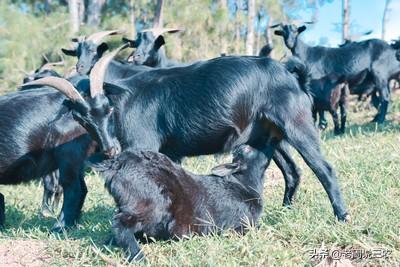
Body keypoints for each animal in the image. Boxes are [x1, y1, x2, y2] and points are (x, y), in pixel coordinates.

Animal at [0, 48, 122, 232]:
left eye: (110, 110)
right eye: (84, 121)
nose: (111, 149)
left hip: (68, 156)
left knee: (74, 189)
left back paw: (59, 227)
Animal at [101, 55, 348, 222]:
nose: (107, 149)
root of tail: (293, 77)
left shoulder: (141, 143)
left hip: (297, 126)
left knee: (324, 170)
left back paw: (341, 215)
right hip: (269, 136)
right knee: (292, 171)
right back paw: (287, 209)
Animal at [272, 23, 400, 123]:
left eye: (296, 31)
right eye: (283, 33)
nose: (289, 43)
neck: (307, 54)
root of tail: (392, 49)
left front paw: (322, 124)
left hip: (380, 75)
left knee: (385, 98)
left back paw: (380, 120)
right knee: (378, 100)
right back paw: (376, 119)